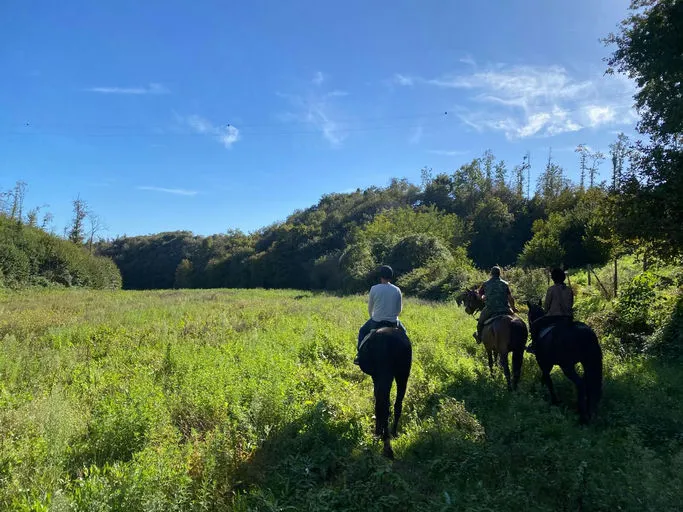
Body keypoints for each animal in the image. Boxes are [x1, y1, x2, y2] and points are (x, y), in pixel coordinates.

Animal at [356, 326, 412, 459]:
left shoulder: (376, 377)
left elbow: (377, 402)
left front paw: (378, 431)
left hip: (385, 376)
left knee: (383, 406)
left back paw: (385, 441)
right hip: (402, 374)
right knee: (396, 405)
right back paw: (393, 433)